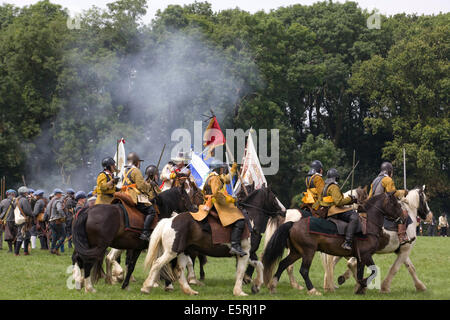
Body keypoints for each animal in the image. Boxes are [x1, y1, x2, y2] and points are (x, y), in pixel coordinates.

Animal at [140, 186, 284, 296]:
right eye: (274, 197)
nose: (283, 210)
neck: (250, 219)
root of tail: (169, 221)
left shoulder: (247, 253)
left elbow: (259, 265)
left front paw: (256, 286)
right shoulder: (245, 254)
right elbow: (241, 271)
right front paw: (239, 292)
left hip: (181, 252)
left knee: (180, 270)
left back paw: (189, 291)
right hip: (172, 252)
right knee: (157, 264)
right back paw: (147, 287)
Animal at [262, 191, 402, 296]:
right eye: (395, 203)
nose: (402, 217)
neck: (368, 226)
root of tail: (293, 223)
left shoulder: (360, 257)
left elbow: (360, 272)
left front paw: (359, 289)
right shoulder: (366, 255)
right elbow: (374, 271)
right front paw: (361, 285)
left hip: (296, 253)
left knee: (283, 264)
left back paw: (273, 286)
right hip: (308, 252)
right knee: (303, 270)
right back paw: (313, 290)